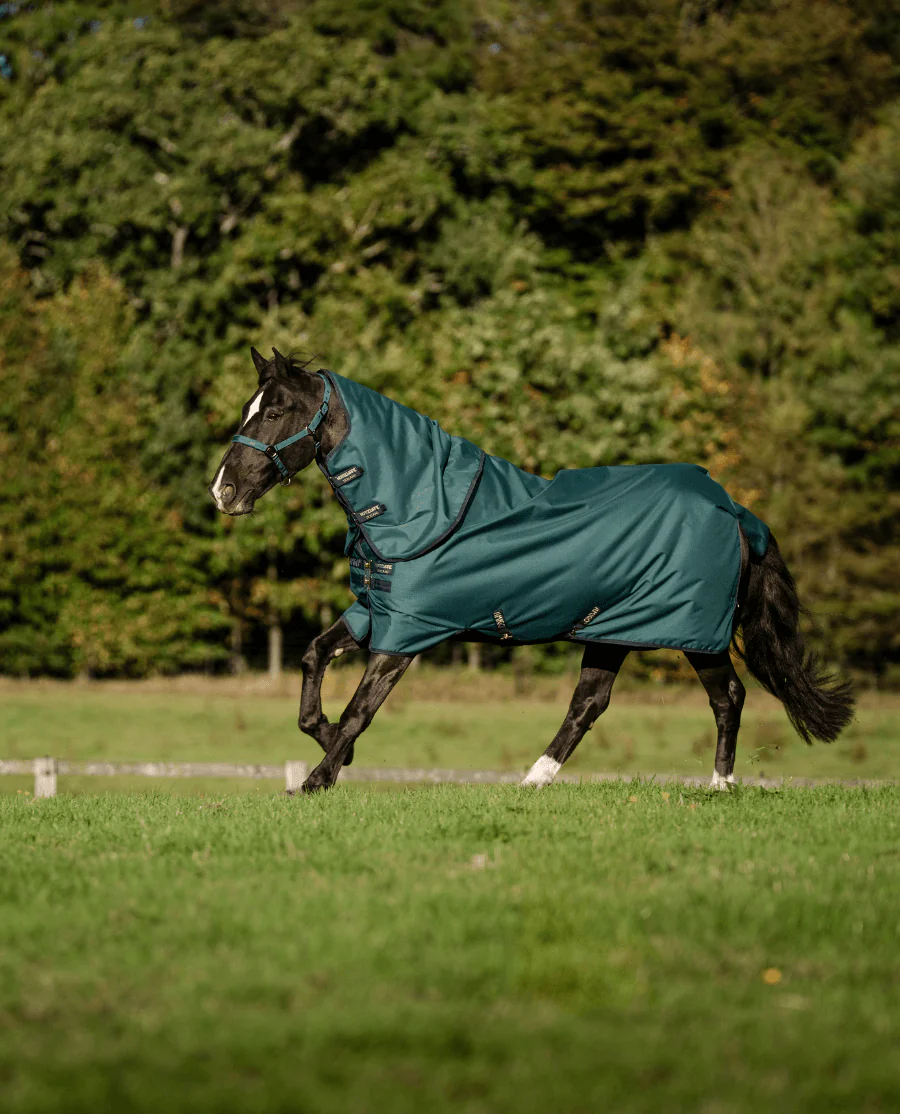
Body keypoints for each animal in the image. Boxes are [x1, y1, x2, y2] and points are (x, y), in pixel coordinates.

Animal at [209, 347, 855, 795]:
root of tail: (734, 509)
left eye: (274, 411)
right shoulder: (374, 612)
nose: (224, 491)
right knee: (589, 703)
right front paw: (327, 748)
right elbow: (312, 660)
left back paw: (720, 785)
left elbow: (358, 712)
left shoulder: (407, 633)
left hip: (693, 632)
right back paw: (534, 780)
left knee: (728, 698)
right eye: (250, 409)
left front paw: (318, 779)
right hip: (612, 629)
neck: (418, 505)